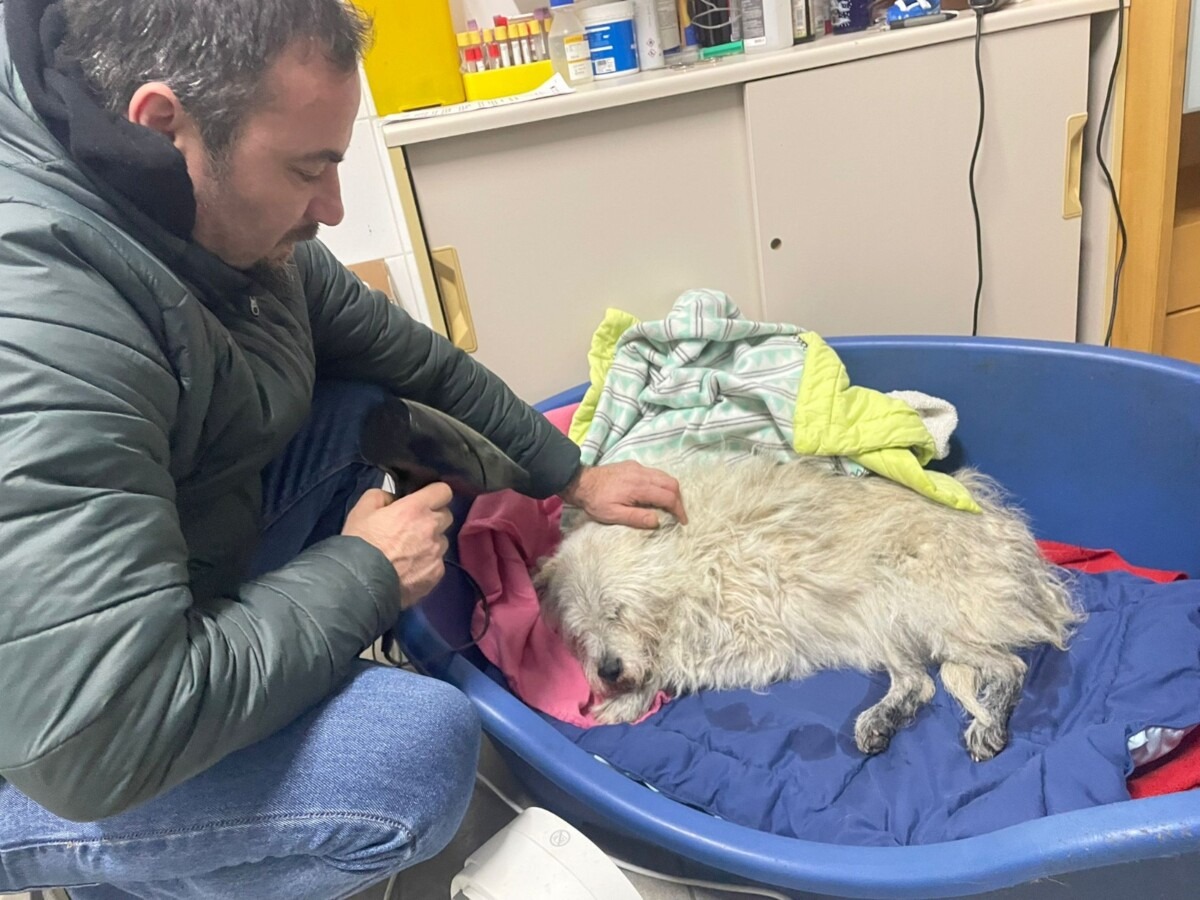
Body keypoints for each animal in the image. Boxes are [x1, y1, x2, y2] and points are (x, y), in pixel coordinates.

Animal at [534, 454, 1082, 761]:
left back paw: (987, 727)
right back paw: (881, 720)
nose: (608, 670)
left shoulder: (751, 639)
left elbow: (673, 663)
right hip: (886, 617)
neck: (690, 558)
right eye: (579, 631)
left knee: (1007, 667)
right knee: (919, 684)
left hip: (918, 602)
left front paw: (625, 701)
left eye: (618, 610)